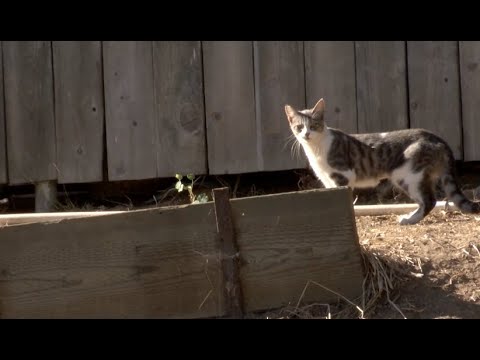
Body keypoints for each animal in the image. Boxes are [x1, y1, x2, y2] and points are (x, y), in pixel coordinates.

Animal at [284, 97, 480, 224]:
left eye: (313, 126)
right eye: (299, 127)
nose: (306, 134)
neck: (316, 149)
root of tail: (436, 137)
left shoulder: (343, 176)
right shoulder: (327, 180)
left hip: (407, 174)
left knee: (429, 201)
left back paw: (409, 219)